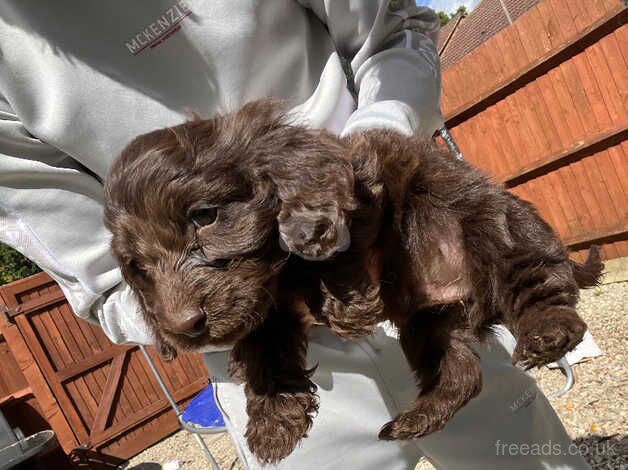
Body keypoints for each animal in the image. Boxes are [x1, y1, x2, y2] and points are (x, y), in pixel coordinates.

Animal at [104, 99, 604, 462]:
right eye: (138, 267)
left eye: (204, 217)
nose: (183, 327)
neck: (276, 278)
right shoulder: (264, 309)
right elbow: (265, 354)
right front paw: (272, 425)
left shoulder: (361, 185)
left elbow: (332, 239)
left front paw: (343, 303)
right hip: (429, 323)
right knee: (460, 374)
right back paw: (416, 418)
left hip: (497, 230)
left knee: (547, 292)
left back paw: (546, 332)